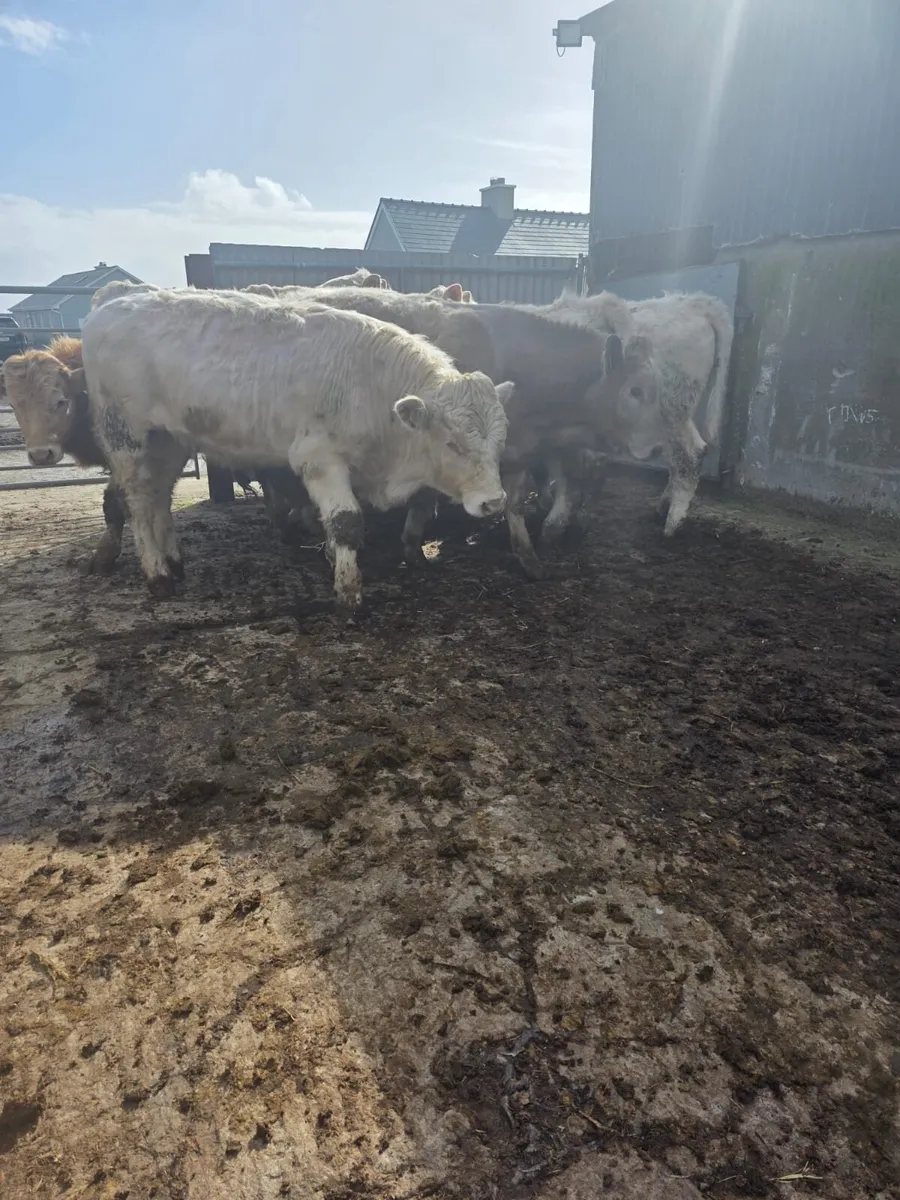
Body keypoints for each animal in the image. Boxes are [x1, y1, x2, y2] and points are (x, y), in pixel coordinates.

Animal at [79, 288, 513, 610]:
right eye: (452, 443)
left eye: (500, 441)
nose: (493, 502)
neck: (369, 385)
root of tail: (107, 309)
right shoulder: (318, 458)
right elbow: (346, 521)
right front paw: (349, 593)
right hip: (127, 438)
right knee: (137, 501)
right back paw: (157, 574)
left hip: (170, 441)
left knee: (159, 497)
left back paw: (173, 562)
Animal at [536, 289, 735, 535]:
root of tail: (694, 303)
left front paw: (554, 520)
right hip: (678, 411)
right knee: (691, 451)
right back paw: (664, 507)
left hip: (671, 409)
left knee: (689, 453)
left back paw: (673, 522)